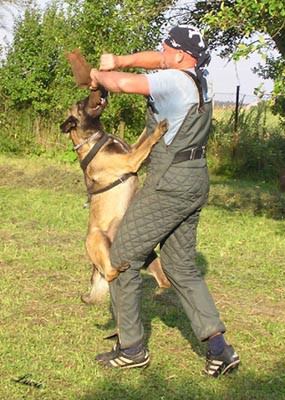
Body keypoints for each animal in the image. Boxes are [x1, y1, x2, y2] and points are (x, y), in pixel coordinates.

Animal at [60, 88, 170, 304]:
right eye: (81, 104)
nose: (101, 89)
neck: (93, 139)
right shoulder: (131, 160)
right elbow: (148, 141)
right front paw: (159, 129)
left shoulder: (133, 151)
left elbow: (143, 136)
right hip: (97, 238)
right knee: (110, 274)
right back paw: (118, 268)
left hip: (150, 258)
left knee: (164, 283)